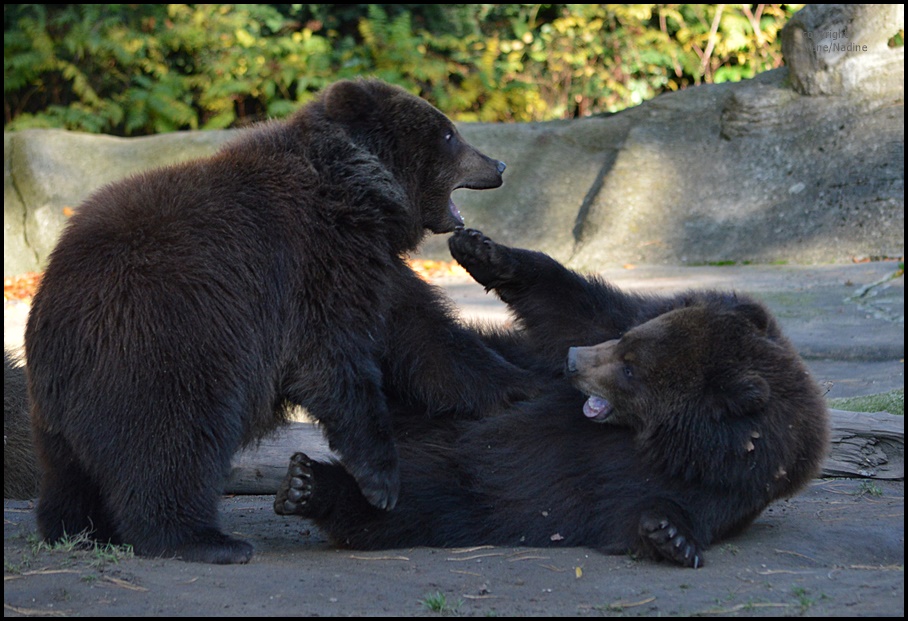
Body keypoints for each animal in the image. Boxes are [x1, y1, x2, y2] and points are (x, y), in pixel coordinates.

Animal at [23, 77, 532, 560]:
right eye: (448, 133)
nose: (499, 165)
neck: (357, 197)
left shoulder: (376, 271)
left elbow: (427, 343)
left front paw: (515, 387)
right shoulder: (311, 266)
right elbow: (333, 361)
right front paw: (380, 480)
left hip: (66, 396)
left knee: (70, 470)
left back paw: (78, 528)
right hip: (168, 340)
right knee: (173, 442)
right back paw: (206, 540)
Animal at [272, 228, 828, 568]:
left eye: (631, 369)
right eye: (630, 342)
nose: (573, 363)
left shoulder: (715, 483)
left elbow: (635, 510)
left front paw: (670, 536)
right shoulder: (629, 316)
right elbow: (573, 306)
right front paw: (483, 250)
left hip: (464, 487)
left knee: (420, 500)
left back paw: (309, 484)